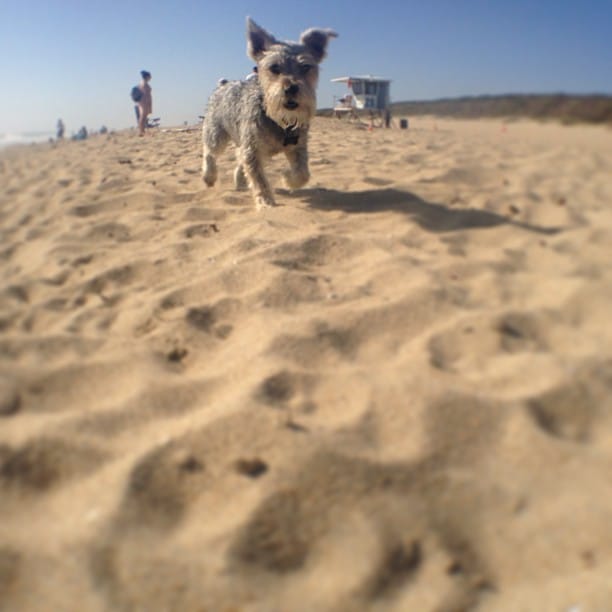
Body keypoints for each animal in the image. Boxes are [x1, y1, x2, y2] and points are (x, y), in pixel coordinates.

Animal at [202, 19, 338, 210]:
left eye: (305, 67)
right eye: (274, 67)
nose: (291, 88)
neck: (280, 121)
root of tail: (223, 84)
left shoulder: (297, 147)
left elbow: (303, 173)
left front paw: (287, 178)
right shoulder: (253, 150)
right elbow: (259, 179)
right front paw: (266, 203)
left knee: (238, 160)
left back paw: (239, 182)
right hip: (216, 134)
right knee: (209, 152)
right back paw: (209, 177)